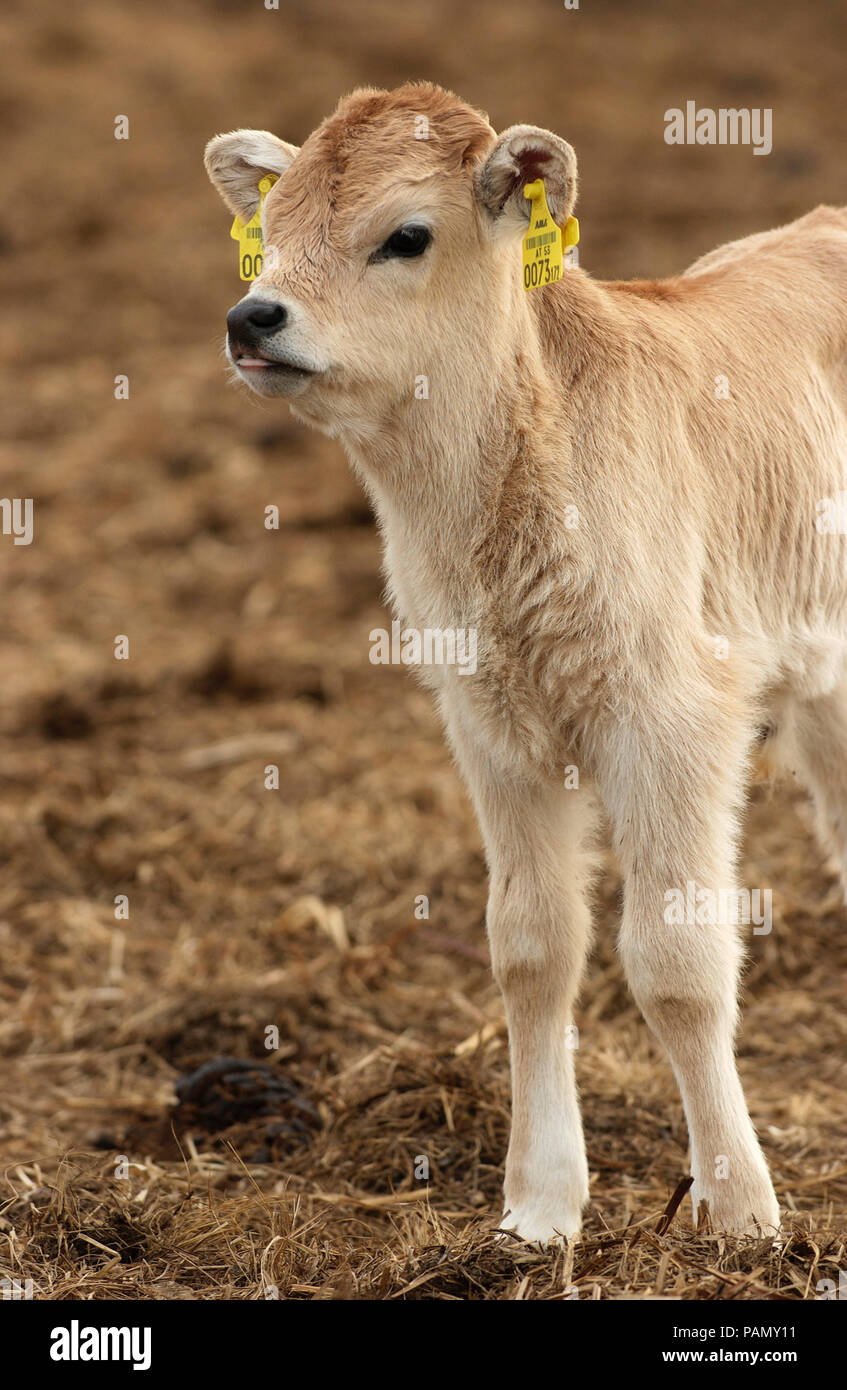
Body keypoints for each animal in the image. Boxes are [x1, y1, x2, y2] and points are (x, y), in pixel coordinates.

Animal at [204, 81, 845, 1245]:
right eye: (265, 238)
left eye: (406, 235)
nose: (251, 319)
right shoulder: (488, 723)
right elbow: (530, 947)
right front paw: (540, 1206)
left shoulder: (672, 716)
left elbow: (677, 965)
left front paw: (738, 1212)